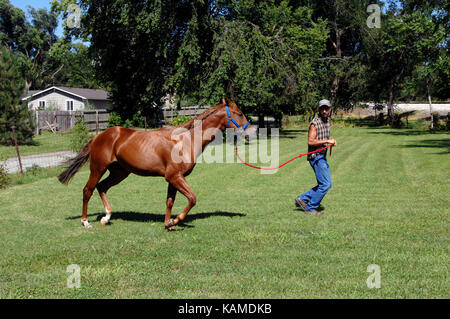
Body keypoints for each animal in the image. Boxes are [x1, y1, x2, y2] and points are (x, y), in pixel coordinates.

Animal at [58, 97, 255, 230]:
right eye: (239, 113)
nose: (250, 134)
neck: (186, 140)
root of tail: (98, 136)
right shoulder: (174, 176)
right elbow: (192, 198)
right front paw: (175, 220)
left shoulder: (173, 179)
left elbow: (169, 201)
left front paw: (168, 223)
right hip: (98, 168)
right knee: (88, 190)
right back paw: (85, 222)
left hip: (119, 172)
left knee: (102, 187)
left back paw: (106, 218)